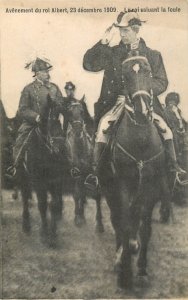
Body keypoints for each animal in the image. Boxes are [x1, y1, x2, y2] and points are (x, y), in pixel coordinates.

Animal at [16, 104, 67, 247]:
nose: (60, 148)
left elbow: (54, 204)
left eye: (60, 120)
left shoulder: (56, 180)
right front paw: (44, 234)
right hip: (23, 178)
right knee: (24, 199)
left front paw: (53, 235)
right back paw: (26, 226)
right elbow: (42, 205)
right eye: (47, 121)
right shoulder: (39, 181)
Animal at [65, 99, 104, 232]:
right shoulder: (77, 173)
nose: (77, 129)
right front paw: (78, 218)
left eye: (82, 111)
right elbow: (78, 193)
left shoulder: (94, 173)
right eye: (69, 112)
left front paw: (99, 224)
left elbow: (97, 195)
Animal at [100, 51, 172, 288]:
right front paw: (125, 273)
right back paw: (120, 255)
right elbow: (123, 224)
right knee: (117, 219)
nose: (141, 110)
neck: (140, 138)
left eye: (148, 72)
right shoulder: (122, 186)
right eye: (125, 76)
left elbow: (145, 227)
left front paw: (140, 269)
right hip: (109, 190)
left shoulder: (151, 188)